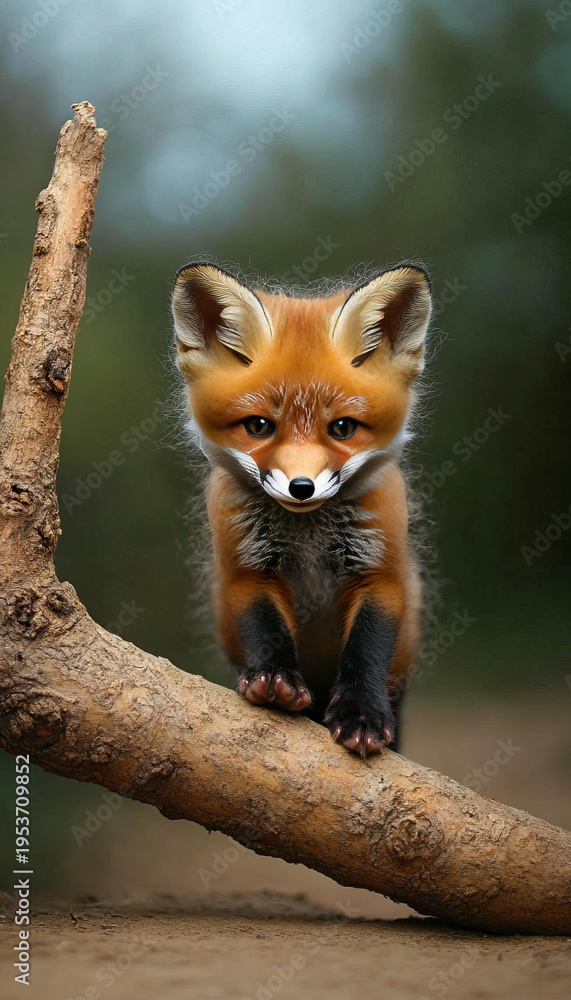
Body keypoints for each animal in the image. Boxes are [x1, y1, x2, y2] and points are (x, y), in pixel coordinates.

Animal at [171, 261, 432, 757]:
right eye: (258, 426)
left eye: (343, 428)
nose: (301, 488)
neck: (307, 531)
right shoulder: (245, 569)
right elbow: (264, 627)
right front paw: (274, 679)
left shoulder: (380, 571)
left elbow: (366, 650)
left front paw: (361, 714)